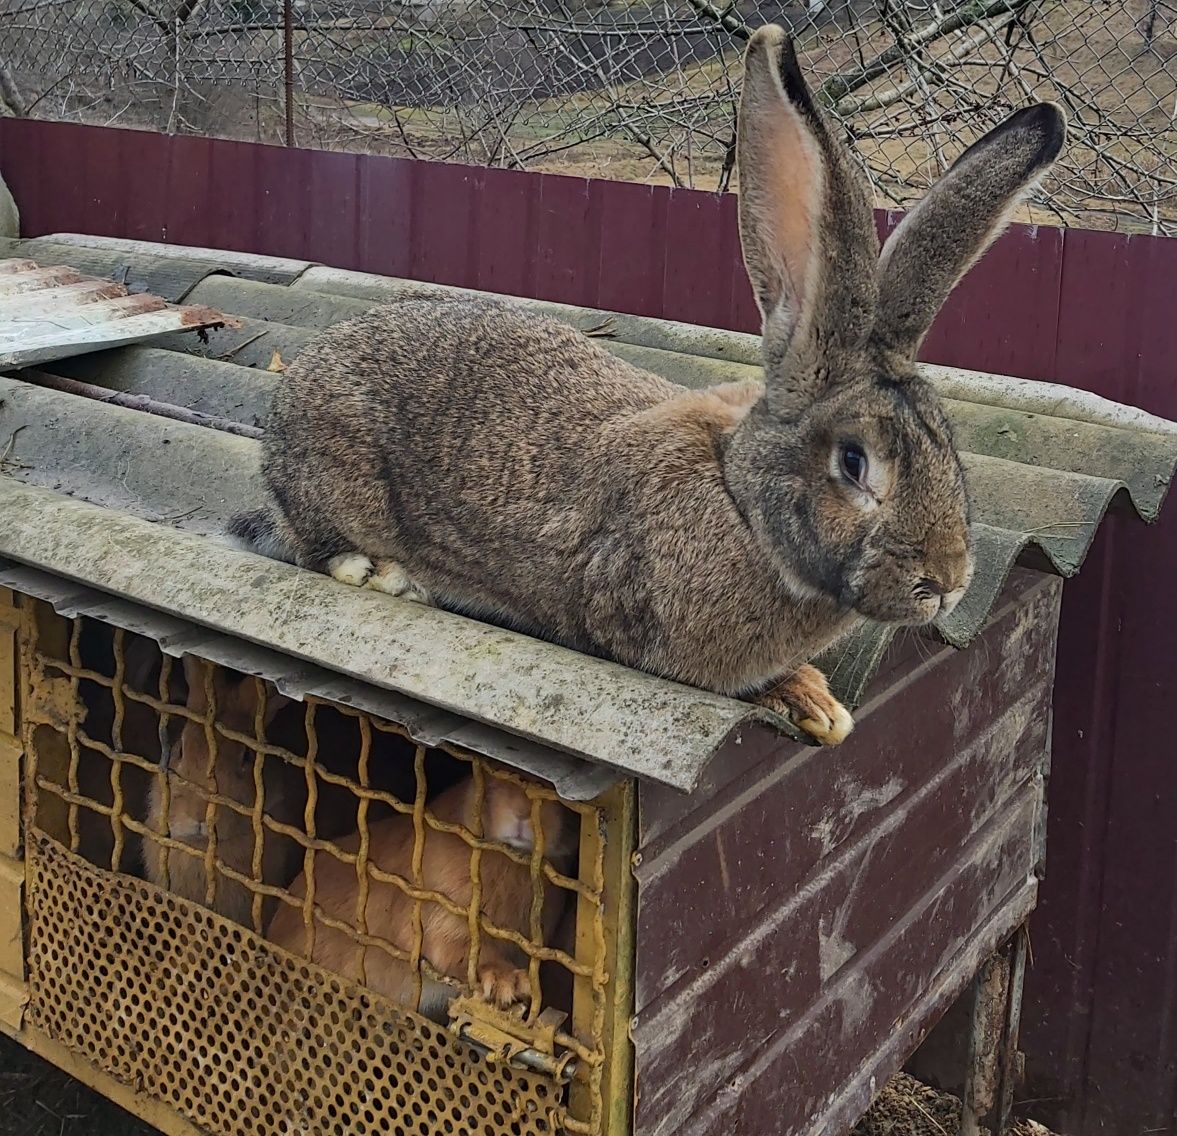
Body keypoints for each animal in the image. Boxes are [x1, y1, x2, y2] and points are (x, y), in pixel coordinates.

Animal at [229, 26, 1068, 743]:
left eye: (946, 445)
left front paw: (818, 704)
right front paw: (803, 699)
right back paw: (380, 573)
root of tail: (300, 380)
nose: (948, 582)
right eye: (854, 463)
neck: (739, 503)